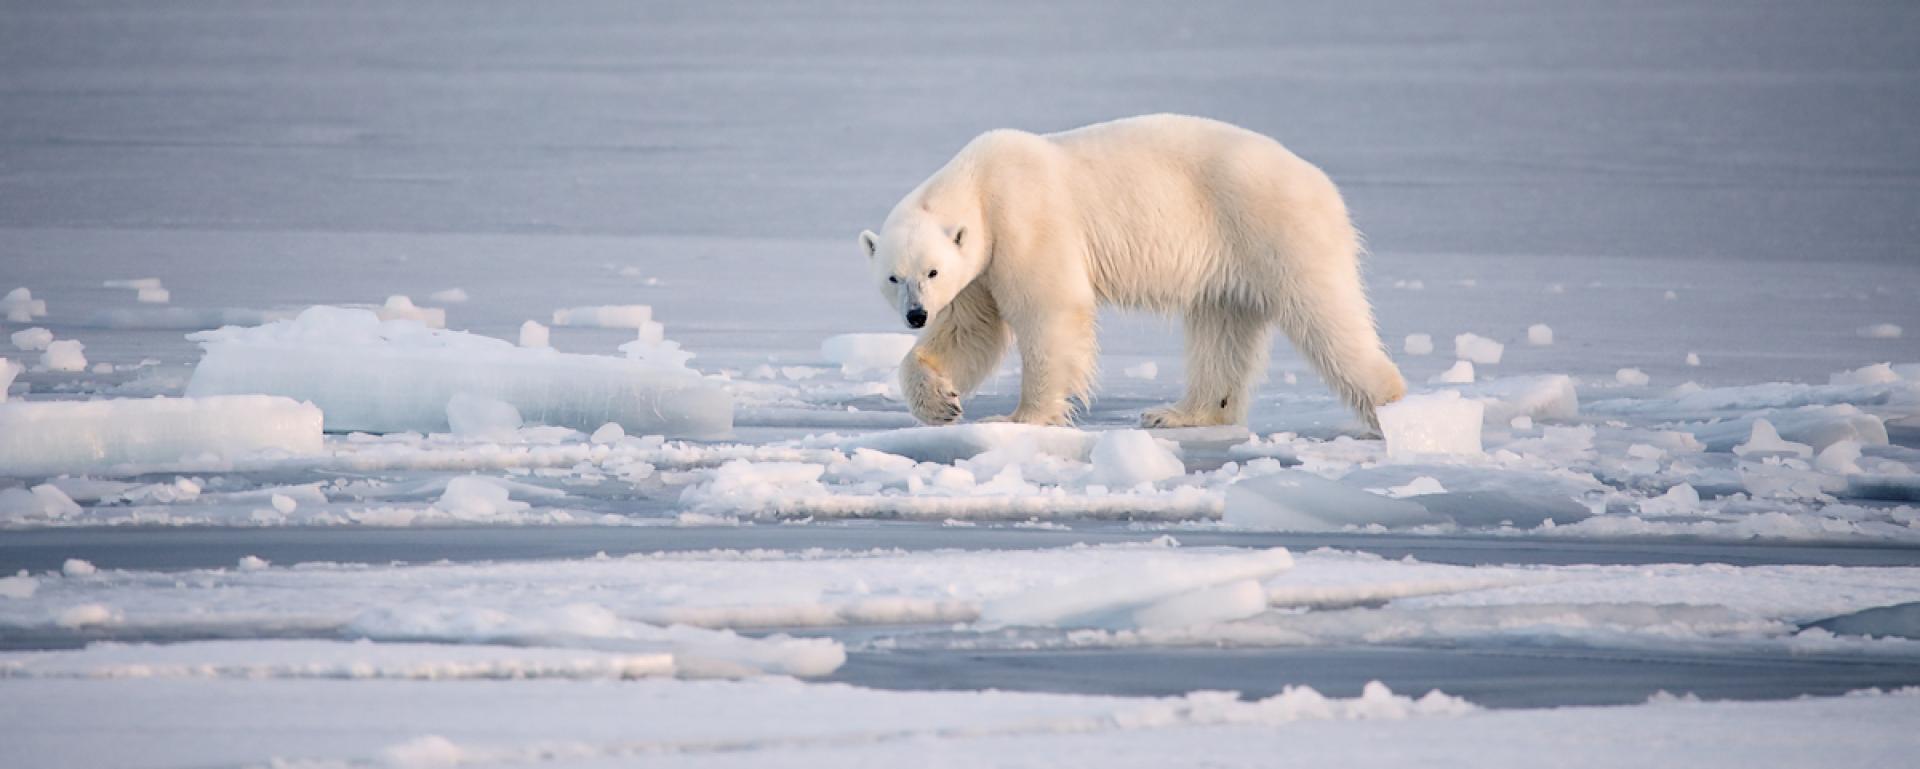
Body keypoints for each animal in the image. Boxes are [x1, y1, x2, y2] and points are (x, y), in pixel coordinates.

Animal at [864, 114, 1405, 427]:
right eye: (894, 277)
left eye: (932, 272)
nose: (916, 315)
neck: (980, 181)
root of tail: (1323, 185)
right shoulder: (981, 268)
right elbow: (971, 330)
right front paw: (942, 402)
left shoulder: (1024, 220)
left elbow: (1050, 309)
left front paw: (1020, 418)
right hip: (1230, 259)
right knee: (1221, 330)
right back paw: (1181, 414)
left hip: (1276, 228)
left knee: (1326, 316)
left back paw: (1391, 406)